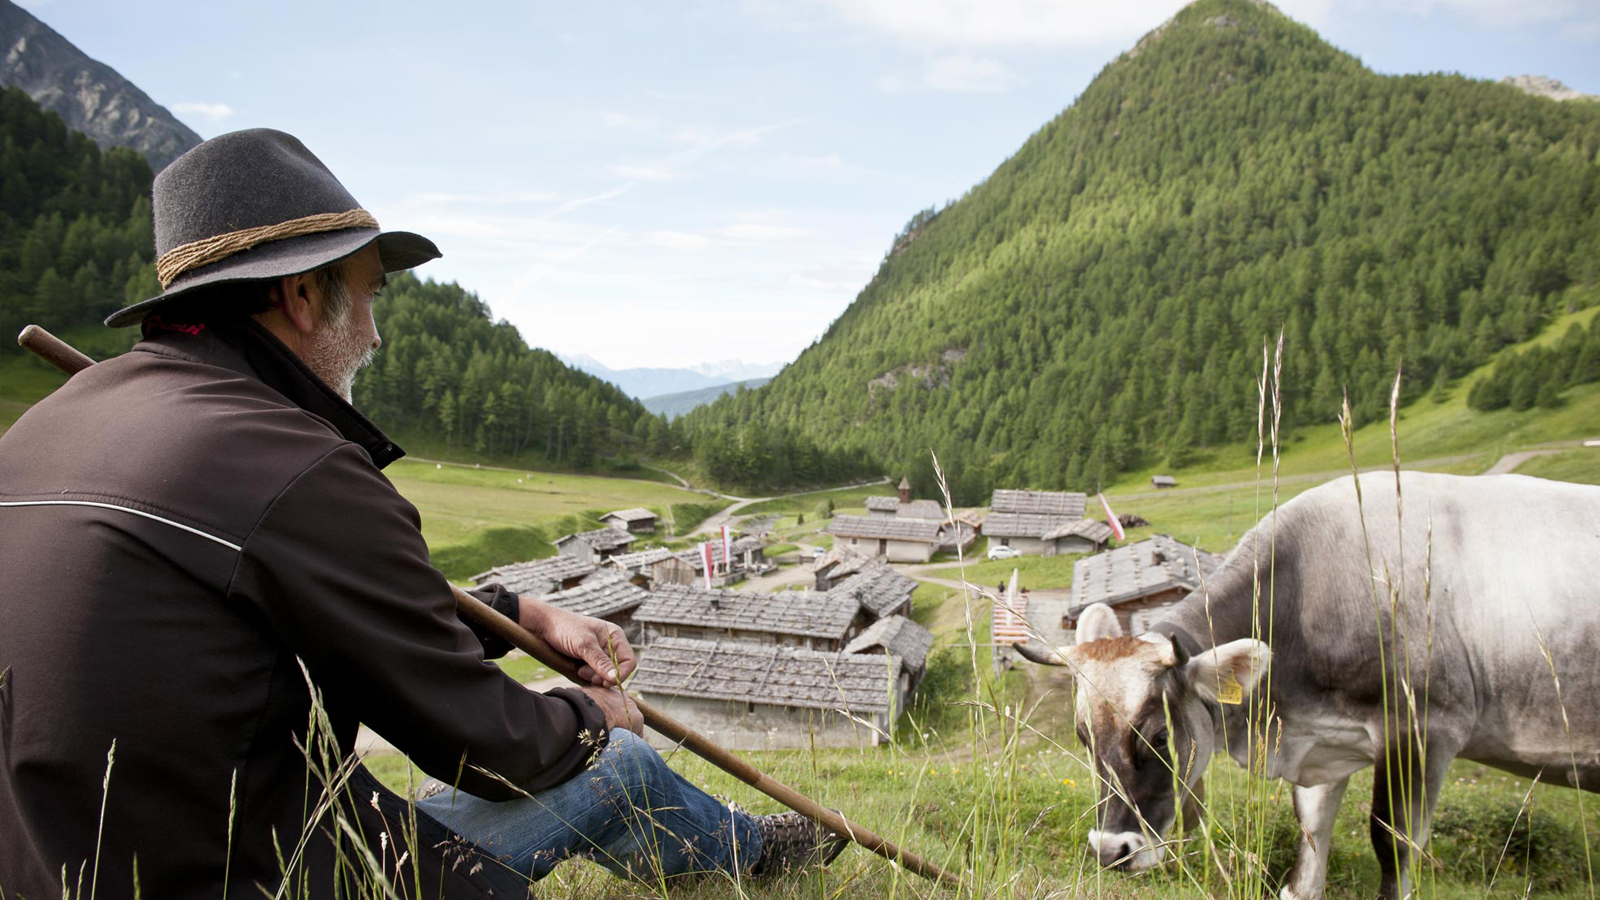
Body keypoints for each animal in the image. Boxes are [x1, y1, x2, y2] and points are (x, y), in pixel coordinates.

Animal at [1017, 470, 1600, 896]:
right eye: (1083, 737)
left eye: (1159, 734)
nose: (1109, 849)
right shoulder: (1321, 748)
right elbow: (1309, 851)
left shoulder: (1425, 731)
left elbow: (1393, 843)